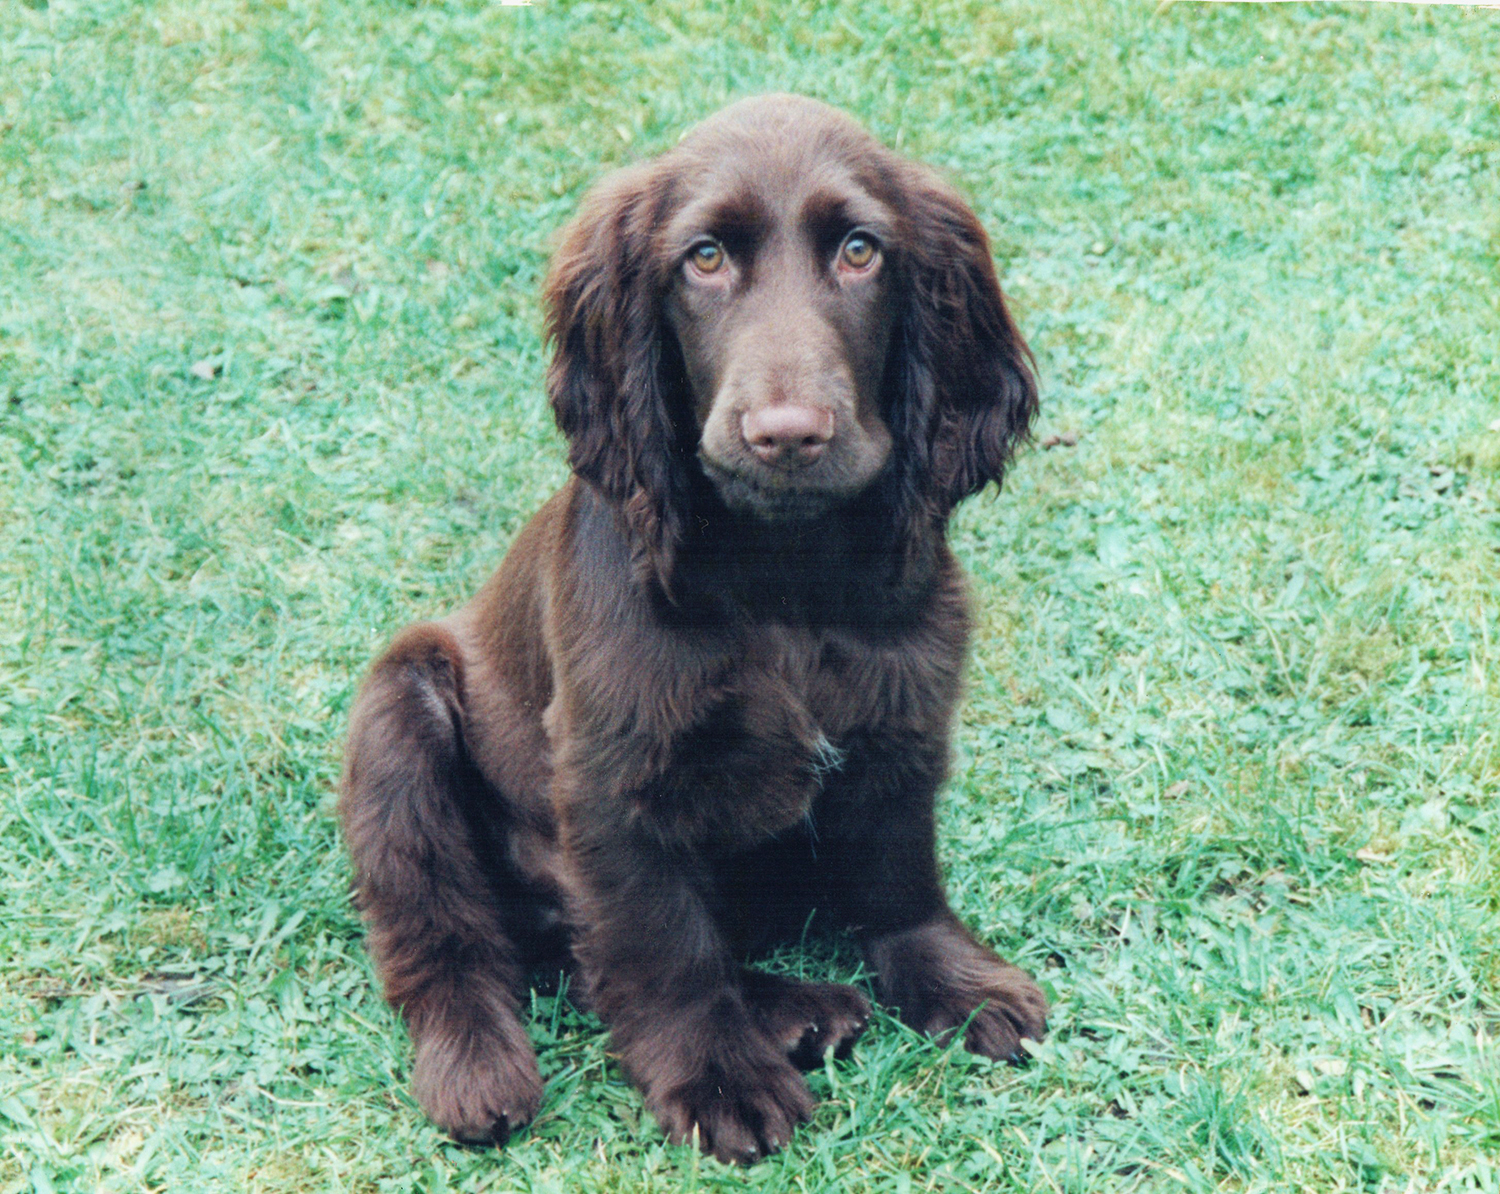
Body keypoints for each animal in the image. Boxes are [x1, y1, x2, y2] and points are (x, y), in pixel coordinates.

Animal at [339, 95, 1044, 1164]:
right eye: (703, 259)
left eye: (861, 251)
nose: (786, 434)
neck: (783, 575)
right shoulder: (612, 774)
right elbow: (662, 941)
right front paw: (718, 1076)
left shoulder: (904, 718)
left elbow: (898, 872)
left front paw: (956, 983)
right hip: (399, 712)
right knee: (453, 938)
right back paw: (479, 1064)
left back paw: (794, 1007)